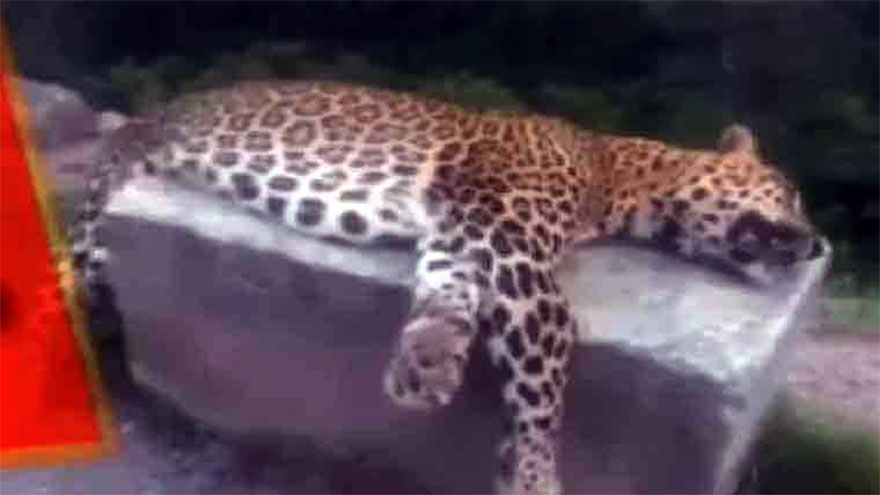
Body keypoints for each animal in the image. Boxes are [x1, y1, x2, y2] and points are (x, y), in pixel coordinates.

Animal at [70, 80, 826, 494]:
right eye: (790, 191)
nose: (820, 243)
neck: (621, 177)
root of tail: (147, 113)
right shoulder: (511, 237)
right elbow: (548, 376)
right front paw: (535, 477)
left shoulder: (465, 234)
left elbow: (447, 295)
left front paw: (424, 366)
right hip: (103, 204)